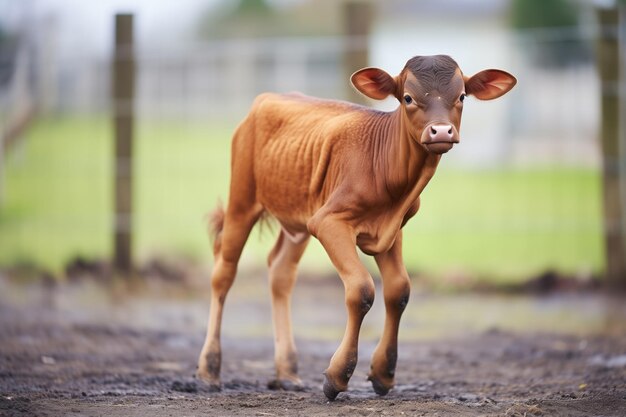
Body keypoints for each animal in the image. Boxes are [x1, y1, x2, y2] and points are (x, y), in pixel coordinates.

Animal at [197, 53, 516, 398]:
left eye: (461, 97)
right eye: (407, 98)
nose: (441, 132)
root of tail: (269, 97)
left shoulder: (393, 228)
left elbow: (399, 290)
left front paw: (384, 373)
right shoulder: (328, 221)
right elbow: (361, 289)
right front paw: (337, 375)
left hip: (297, 215)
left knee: (281, 272)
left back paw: (287, 372)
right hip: (243, 196)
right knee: (223, 272)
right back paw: (210, 370)